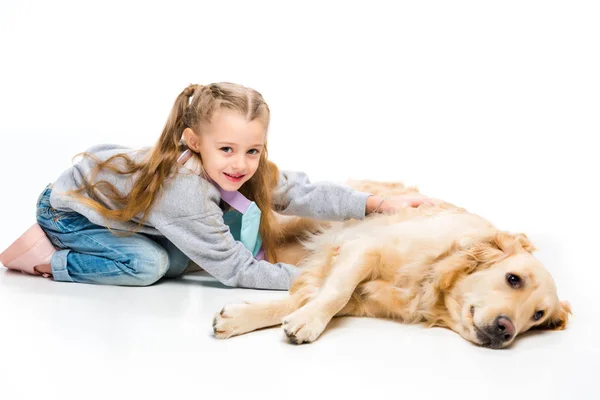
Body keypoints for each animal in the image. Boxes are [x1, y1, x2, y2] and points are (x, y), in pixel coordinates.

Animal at [212, 180, 572, 348]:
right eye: (513, 279)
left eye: (538, 316)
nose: (506, 330)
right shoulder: (364, 249)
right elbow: (334, 293)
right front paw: (307, 322)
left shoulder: (359, 294)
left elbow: (306, 297)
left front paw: (240, 317)